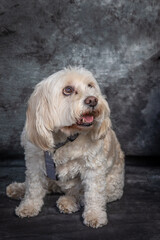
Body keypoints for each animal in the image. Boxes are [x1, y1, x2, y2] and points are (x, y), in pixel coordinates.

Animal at [6, 66, 124, 228]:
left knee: (80, 194)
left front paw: (95, 216)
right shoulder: (34, 163)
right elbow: (34, 187)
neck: (64, 138)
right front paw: (29, 206)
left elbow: (93, 194)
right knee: (46, 186)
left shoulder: (94, 168)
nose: (93, 100)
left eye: (90, 86)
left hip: (112, 186)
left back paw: (68, 201)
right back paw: (18, 188)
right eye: (68, 90)